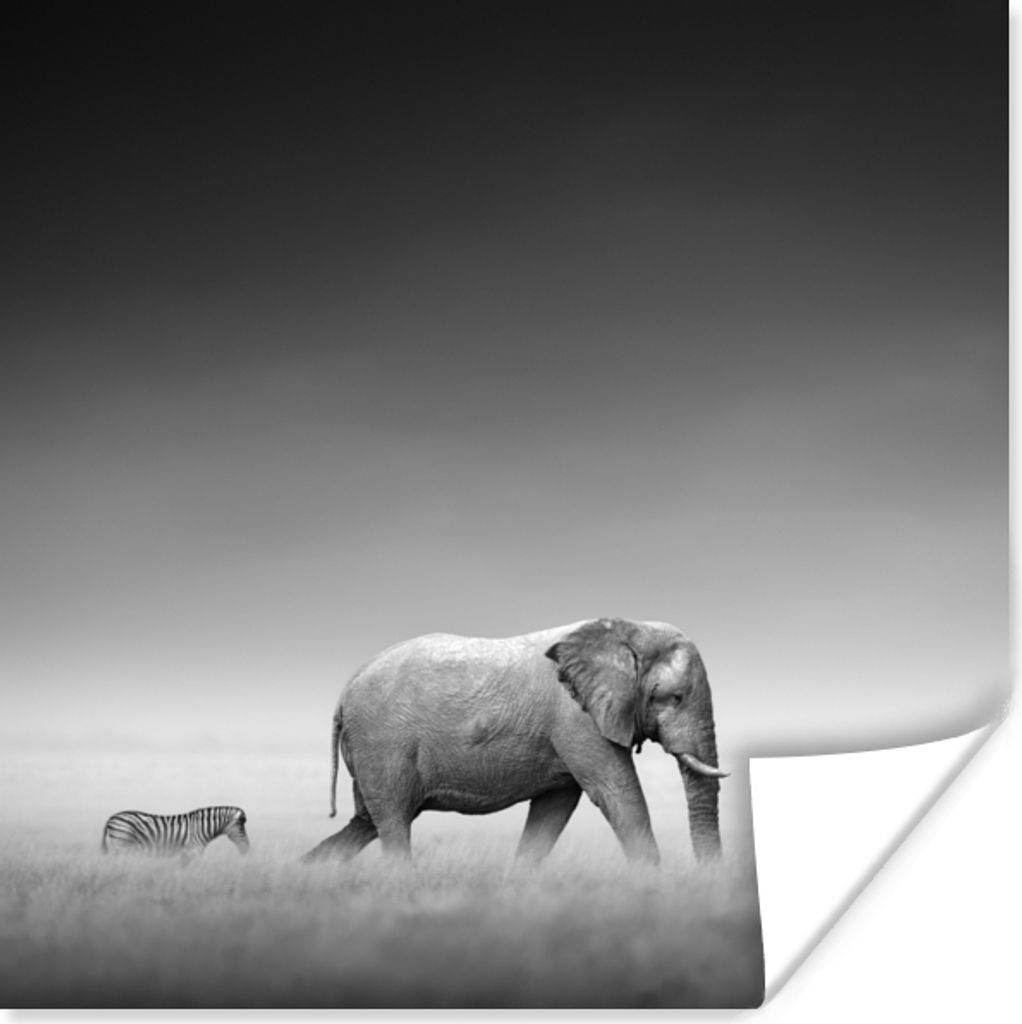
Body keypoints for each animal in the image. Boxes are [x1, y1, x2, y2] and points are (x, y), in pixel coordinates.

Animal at [101, 806, 250, 860]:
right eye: (241, 828)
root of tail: (110, 818)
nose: (247, 849)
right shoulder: (194, 850)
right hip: (122, 845)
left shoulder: (186, 853)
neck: (201, 828)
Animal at [301, 617, 727, 866]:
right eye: (673, 697)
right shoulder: (576, 719)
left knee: (366, 822)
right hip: (382, 743)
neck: (626, 629)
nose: (707, 882)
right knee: (391, 822)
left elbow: (553, 810)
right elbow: (618, 794)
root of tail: (345, 691)